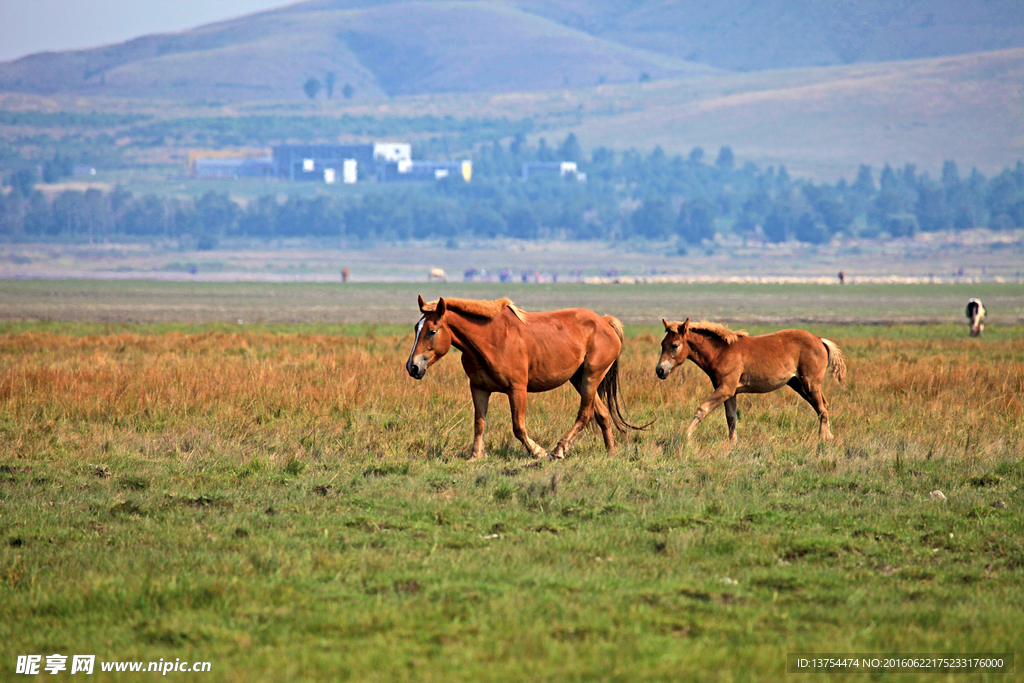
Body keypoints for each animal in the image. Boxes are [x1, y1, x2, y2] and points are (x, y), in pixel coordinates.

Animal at [405, 296, 638, 462]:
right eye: (416, 328)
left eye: (432, 331)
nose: (412, 366)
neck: (491, 339)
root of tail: (605, 322)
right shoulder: (479, 388)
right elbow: (479, 424)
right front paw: (475, 456)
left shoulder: (516, 389)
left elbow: (518, 427)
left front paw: (539, 452)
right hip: (579, 379)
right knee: (602, 414)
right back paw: (611, 454)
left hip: (591, 377)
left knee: (585, 414)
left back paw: (559, 450)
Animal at [655, 321, 847, 444]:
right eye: (662, 343)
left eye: (675, 345)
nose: (660, 370)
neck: (721, 352)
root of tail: (819, 339)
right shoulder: (729, 391)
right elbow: (731, 417)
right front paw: (732, 444)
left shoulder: (726, 389)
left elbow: (702, 409)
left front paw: (685, 436)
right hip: (798, 385)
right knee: (822, 406)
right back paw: (828, 436)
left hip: (810, 383)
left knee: (821, 408)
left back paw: (822, 439)